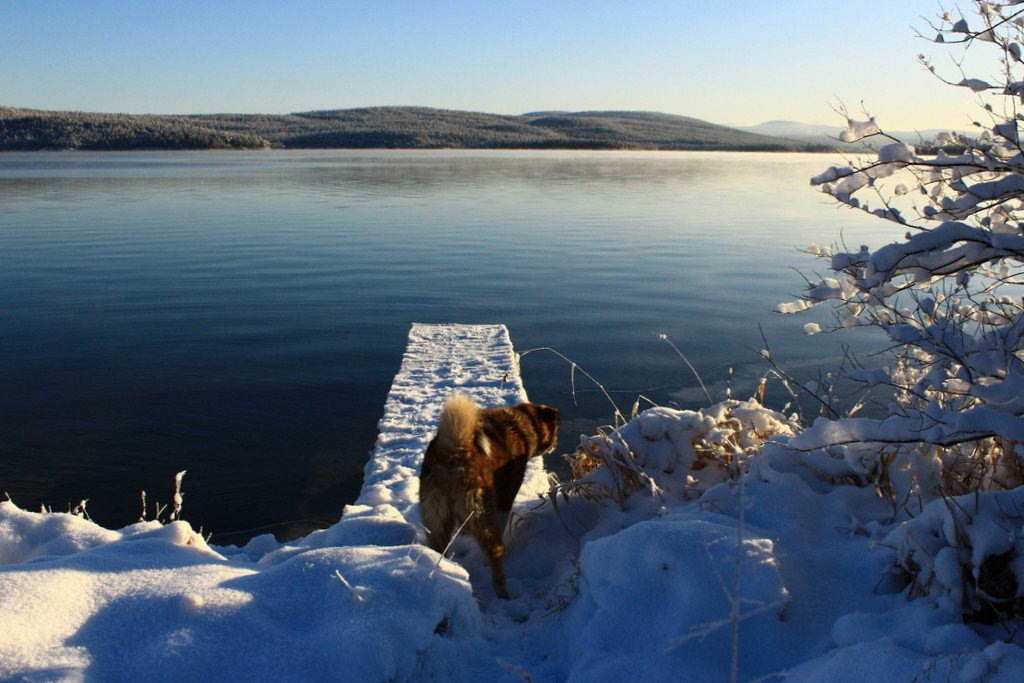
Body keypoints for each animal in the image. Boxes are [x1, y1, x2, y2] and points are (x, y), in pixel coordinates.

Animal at [417, 395, 561, 598]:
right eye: (556, 428)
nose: (556, 443)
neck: (522, 424)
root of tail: (455, 448)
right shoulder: (505, 496)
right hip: (481, 513)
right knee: (494, 554)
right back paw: (503, 592)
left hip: (436, 515)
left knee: (438, 546)